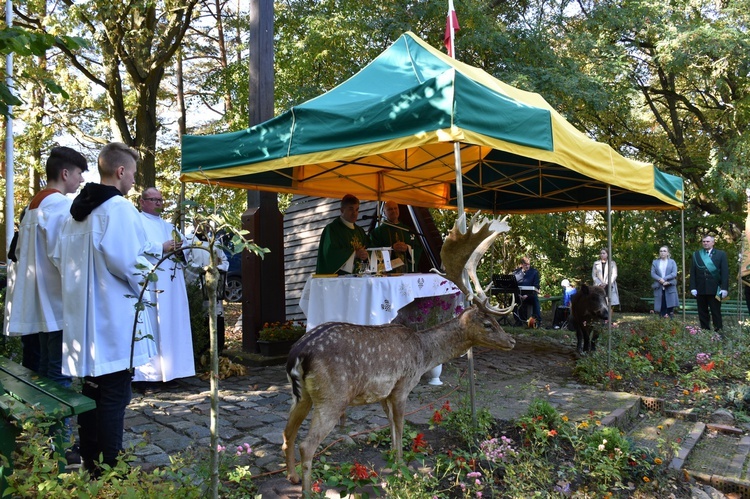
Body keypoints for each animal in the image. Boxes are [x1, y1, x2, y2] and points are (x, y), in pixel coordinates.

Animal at [282, 213, 516, 494]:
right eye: (488, 324)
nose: (512, 340)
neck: (423, 353)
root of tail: (297, 354)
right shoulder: (403, 384)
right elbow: (401, 425)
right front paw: (402, 467)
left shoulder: (385, 393)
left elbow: (392, 426)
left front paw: (394, 460)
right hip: (332, 397)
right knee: (306, 444)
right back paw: (305, 488)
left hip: (301, 395)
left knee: (287, 433)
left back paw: (293, 477)